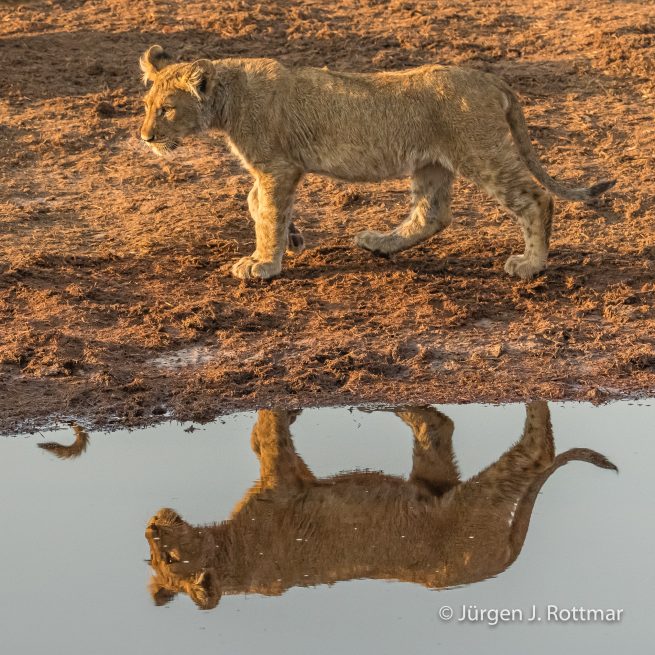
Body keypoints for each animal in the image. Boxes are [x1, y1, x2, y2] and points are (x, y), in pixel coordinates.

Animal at [139, 45, 614, 281]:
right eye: (145, 106)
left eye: (166, 110)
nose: (145, 137)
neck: (226, 98)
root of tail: (490, 77)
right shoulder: (271, 169)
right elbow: (256, 204)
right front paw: (290, 239)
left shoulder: (278, 166)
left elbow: (267, 212)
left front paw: (263, 264)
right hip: (431, 164)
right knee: (432, 214)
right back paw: (380, 244)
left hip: (482, 153)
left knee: (535, 198)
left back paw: (531, 266)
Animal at [144, 403, 616, 610]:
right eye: (153, 559)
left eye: (167, 556)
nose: (150, 527)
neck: (229, 555)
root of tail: (503, 562)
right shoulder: (292, 476)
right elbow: (264, 437)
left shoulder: (283, 482)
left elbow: (264, 433)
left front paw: (280, 406)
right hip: (437, 478)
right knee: (441, 425)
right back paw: (400, 406)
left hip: (476, 507)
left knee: (535, 454)